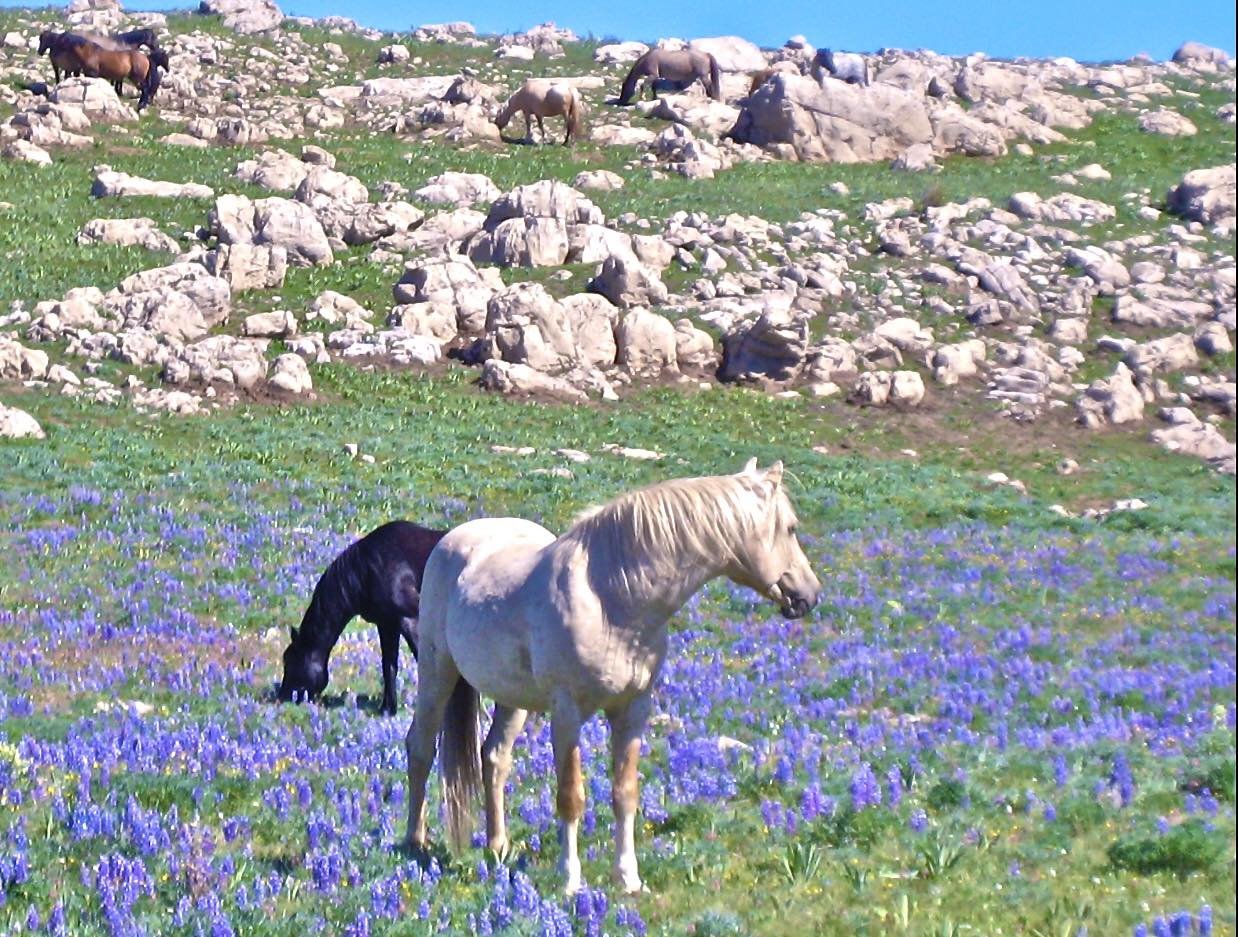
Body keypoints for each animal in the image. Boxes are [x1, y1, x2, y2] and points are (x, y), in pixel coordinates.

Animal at [276, 519, 445, 717]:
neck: (368, 569)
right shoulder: (387, 624)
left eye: (291, 661)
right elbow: (388, 666)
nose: (282, 697)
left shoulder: (409, 619)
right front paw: (387, 709)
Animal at [406, 457, 822, 891]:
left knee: (494, 758)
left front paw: (628, 877)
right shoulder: (567, 713)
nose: (810, 595)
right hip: (437, 672)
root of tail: (455, 539)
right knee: (420, 747)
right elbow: (571, 797)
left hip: (513, 698)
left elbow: (625, 793)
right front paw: (571, 879)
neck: (610, 599)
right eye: (791, 527)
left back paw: (498, 846)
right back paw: (415, 841)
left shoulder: (632, 710)